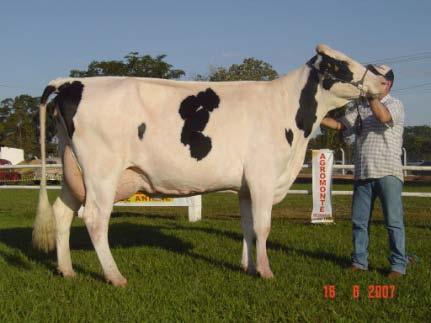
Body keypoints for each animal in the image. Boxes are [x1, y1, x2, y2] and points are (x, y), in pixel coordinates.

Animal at [32, 44, 386, 288]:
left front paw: (248, 267)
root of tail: (70, 82)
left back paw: (67, 270)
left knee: (62, 213)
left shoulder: (246, 186)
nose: (387, 77)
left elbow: (247, 226)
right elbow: (262, 227)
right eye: (341, 64)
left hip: (72, 170)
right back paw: (115, 276)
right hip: (101, 172)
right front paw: (266, 271)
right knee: (94, 218)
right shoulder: (262, 177)